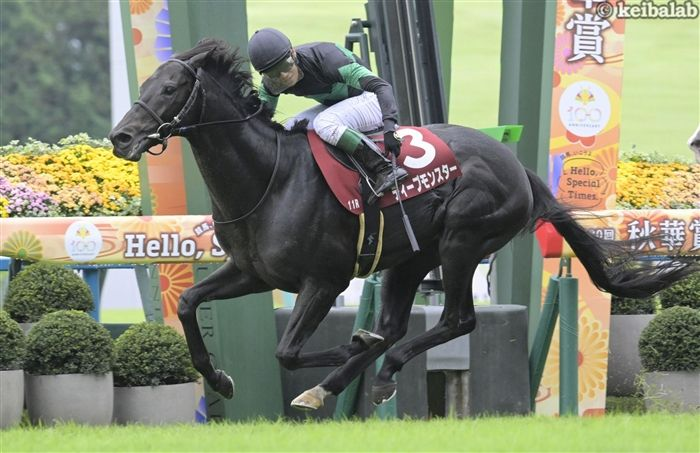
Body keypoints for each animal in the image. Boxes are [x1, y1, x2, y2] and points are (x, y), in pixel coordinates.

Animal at [109, 38, 697, 411]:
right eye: (148, 81)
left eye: (169, 89)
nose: (121, 137)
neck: (270, 180)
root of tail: (519, 169)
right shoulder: (252, 271)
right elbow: (189, 304)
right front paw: (218, 378)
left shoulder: (323, 281)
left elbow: (288, 350)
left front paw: (353, 345)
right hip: (411, 258)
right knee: (397, 325)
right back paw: (347, 379)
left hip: (463, 240)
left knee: (456, 320)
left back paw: (379, 366)